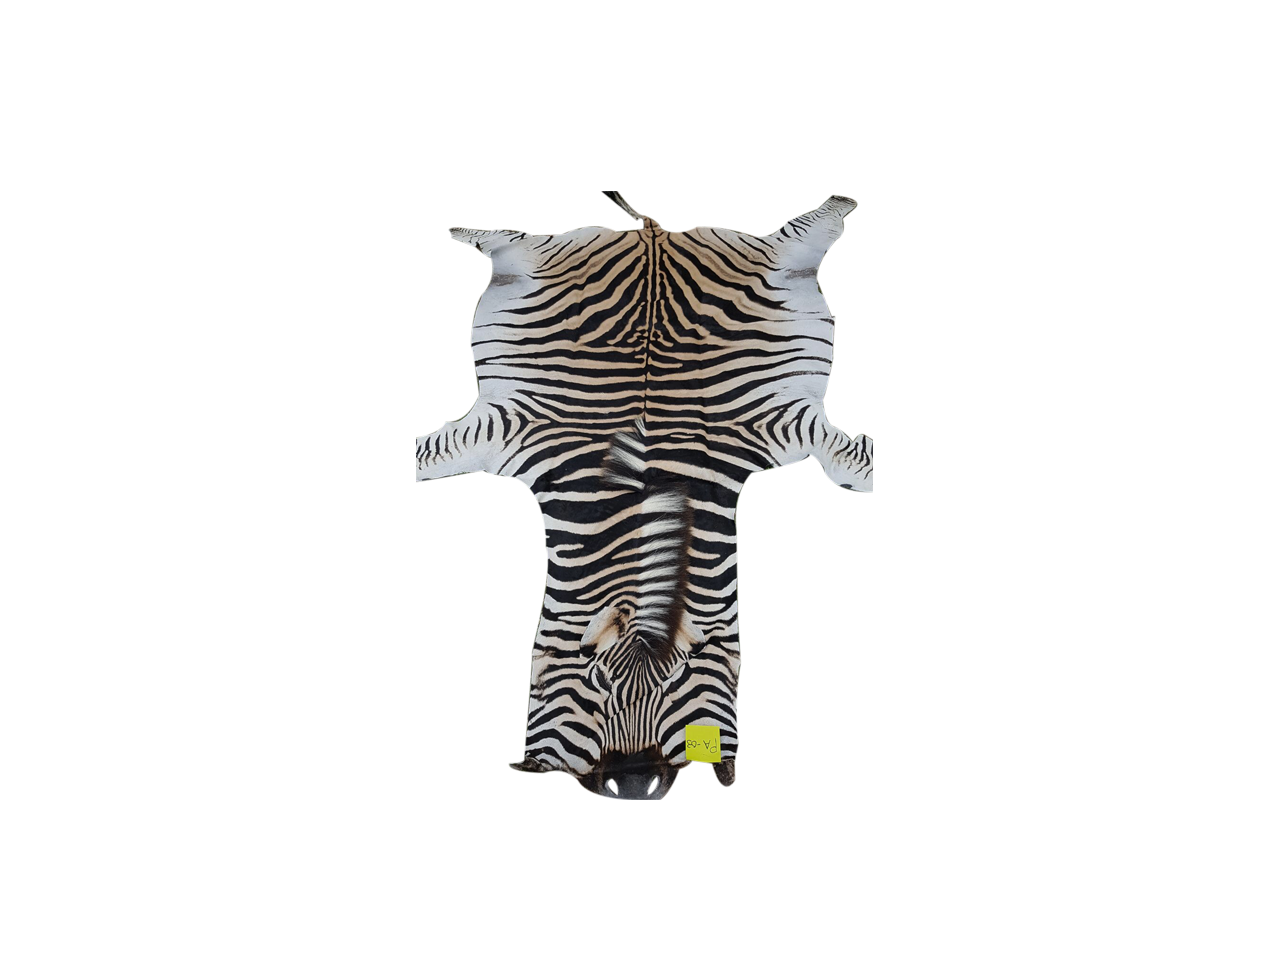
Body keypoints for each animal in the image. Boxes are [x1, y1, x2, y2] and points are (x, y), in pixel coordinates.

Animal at [416, 192, 873, 799]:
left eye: (680, 676)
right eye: (595, 680)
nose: (633, 785)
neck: (641, 512)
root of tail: (652, 235)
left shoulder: (780, 424)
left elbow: (851, 459)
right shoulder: (506, 429)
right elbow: (429, 453)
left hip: (771, 260)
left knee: (808, 227)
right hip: (534, 256)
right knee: (495, 237)